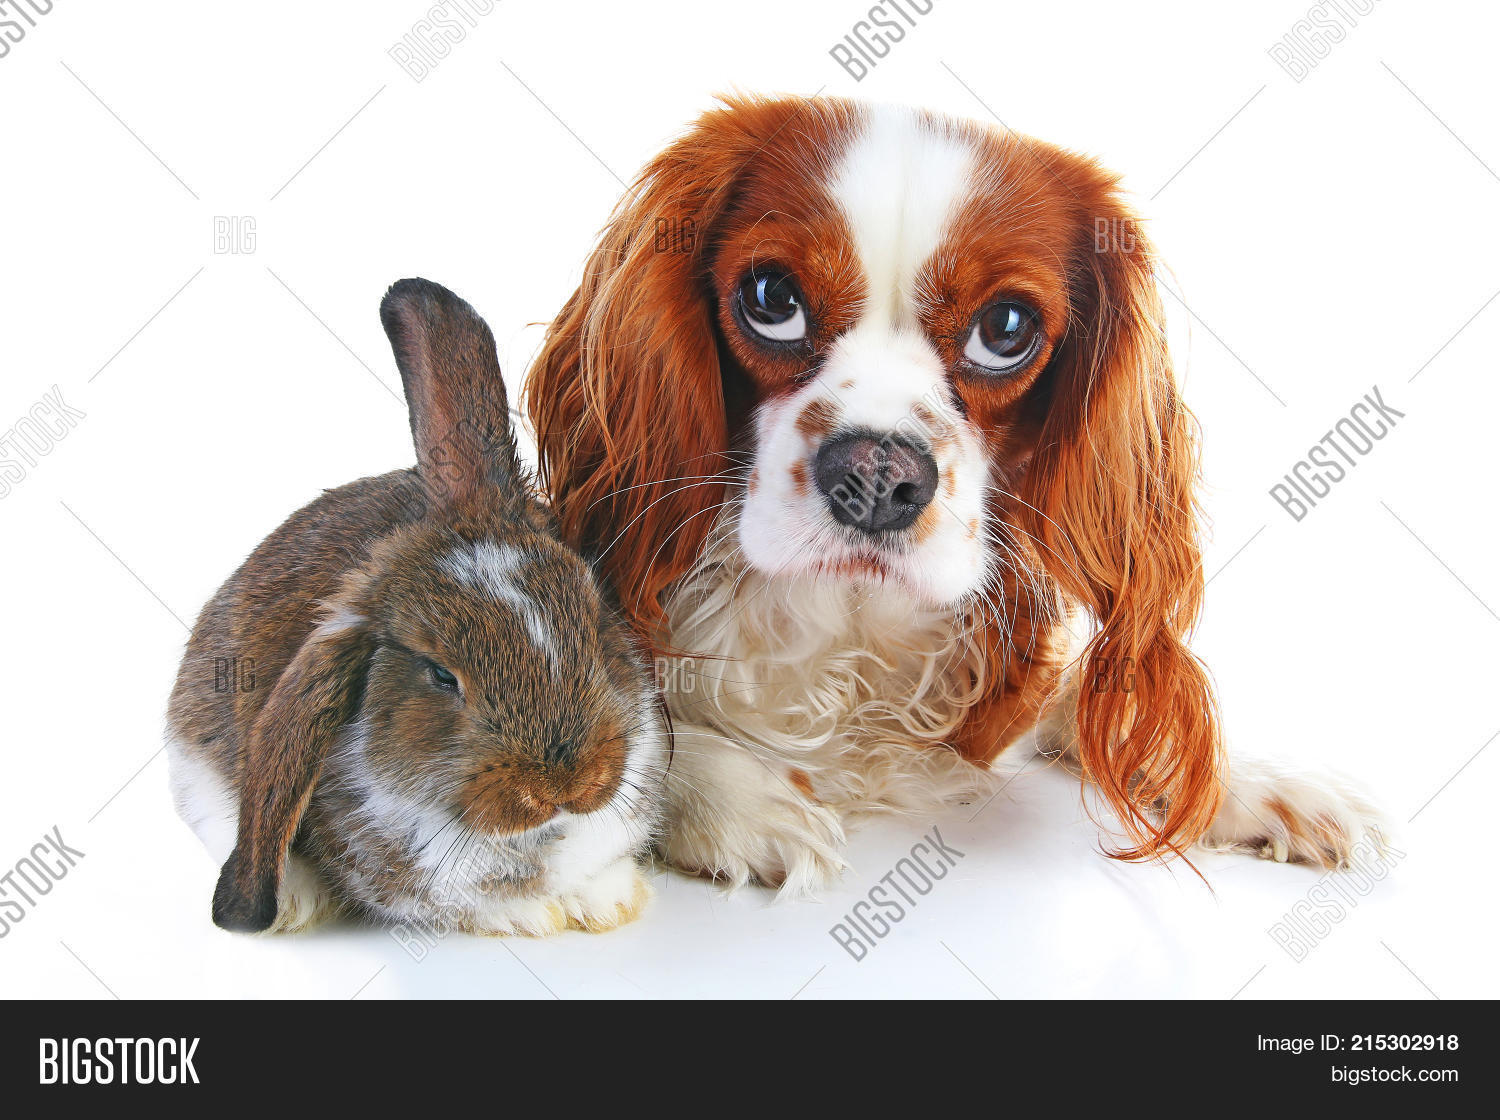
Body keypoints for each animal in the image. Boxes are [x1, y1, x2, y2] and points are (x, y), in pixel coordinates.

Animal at [166, 278, 666, 936]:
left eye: (595, 629)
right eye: (440, 676)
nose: (566, 783)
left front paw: (611, 902)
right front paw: (537, 915)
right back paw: (298, 901)